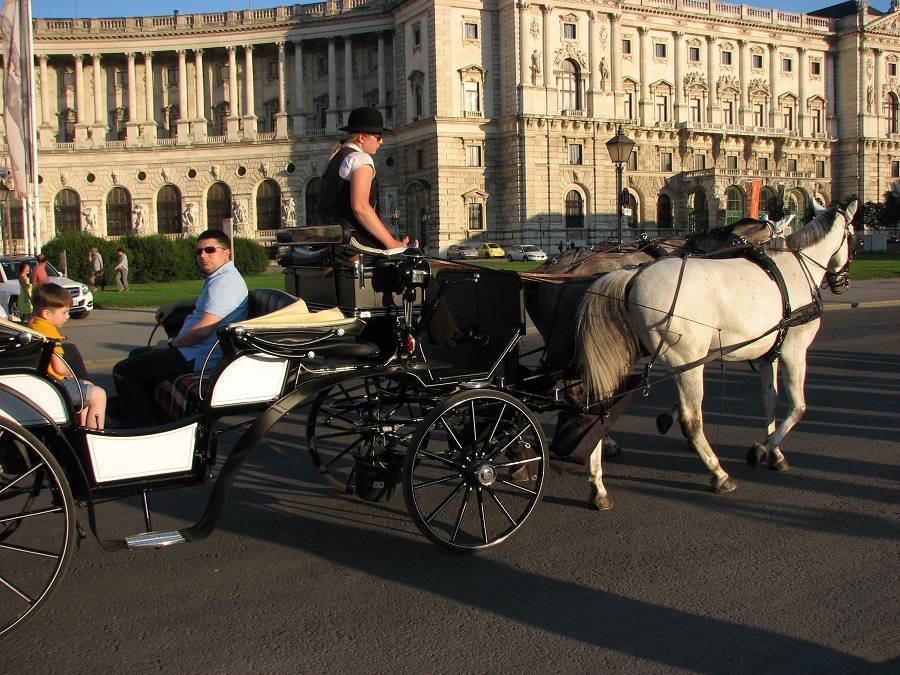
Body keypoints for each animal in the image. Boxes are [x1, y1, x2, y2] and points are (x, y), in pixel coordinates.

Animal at [576, 203, 856, 510]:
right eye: (853, 237)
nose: (842, 283)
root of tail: (633, 275)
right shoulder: (794, 349)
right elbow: (798, 406)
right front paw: (762, 449)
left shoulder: (768, 354)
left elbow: (769, 401)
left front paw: (775, 452)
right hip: (685, 361)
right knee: (692, 420)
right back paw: (718, 474)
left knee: (599, 411)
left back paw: (598, 486)